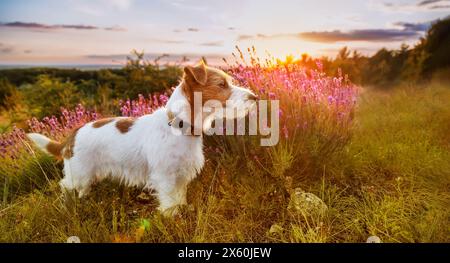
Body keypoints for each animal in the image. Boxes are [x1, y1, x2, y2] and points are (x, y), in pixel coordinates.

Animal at [27, 62, 256, 217]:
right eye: (221, 84)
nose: (254, 97)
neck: (179, 124)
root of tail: (72, 136)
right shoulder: (165, 178)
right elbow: (169, 204)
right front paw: (173, 221)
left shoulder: (180, 176)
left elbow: (179, 198)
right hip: (79, 173)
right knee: (66, 186)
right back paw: (67, 207)